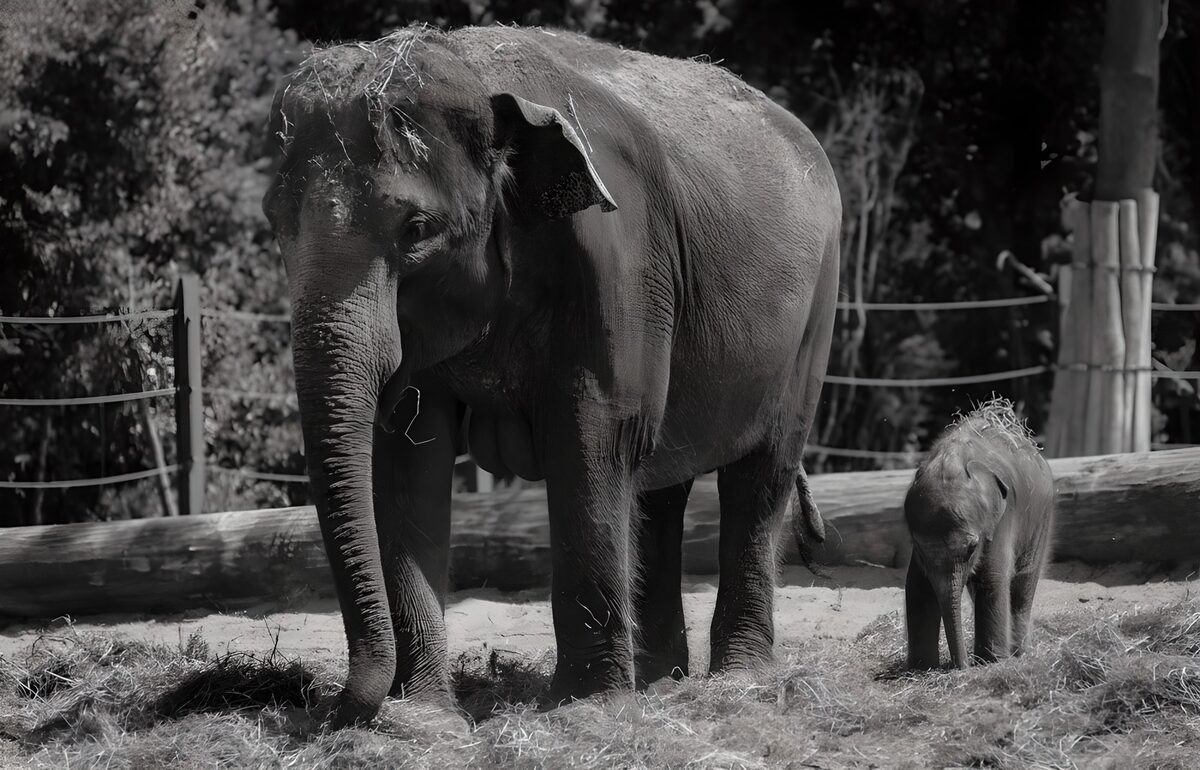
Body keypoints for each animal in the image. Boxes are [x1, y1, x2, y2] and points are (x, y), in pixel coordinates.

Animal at [262, 23, 841, 727]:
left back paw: (738, 682)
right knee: (662, 485)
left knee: (759, 474)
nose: (328, 708)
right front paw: (423, 719)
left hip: (814, 317)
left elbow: (593, 435)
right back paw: (660, 680)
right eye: (273, 222)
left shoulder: (618, 258)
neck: (480, 78)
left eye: (417, 228)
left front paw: (584, 707)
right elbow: (408, 459)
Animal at [903, 398, 1055, 670]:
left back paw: (1020, 652)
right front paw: (922, 667)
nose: (960, 667)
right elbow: (916, 586)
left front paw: (991, 662)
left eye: (972, 547)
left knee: (1022, 584)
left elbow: (993, 578)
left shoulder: (1002, 519)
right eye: (919, 549)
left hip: (1042, 518)